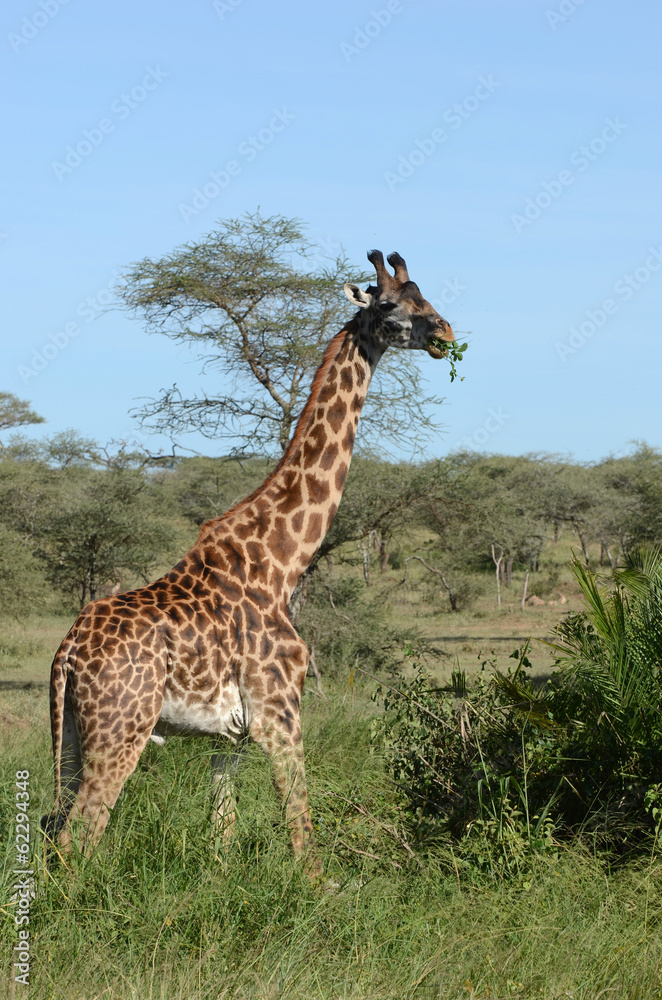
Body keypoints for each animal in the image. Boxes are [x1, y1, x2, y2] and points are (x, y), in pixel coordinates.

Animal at [42, 250, 454, 874]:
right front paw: (322, 891)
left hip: (68, 734)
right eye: (388, 306)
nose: (446, 333)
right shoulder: (279, 712)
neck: (280, 562)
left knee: (52, 827)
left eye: (424, 297)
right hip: (121, 729)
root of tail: (67, 651)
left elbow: (223, 833)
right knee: (79, 836)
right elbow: (302, 831)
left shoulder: (227, 737)